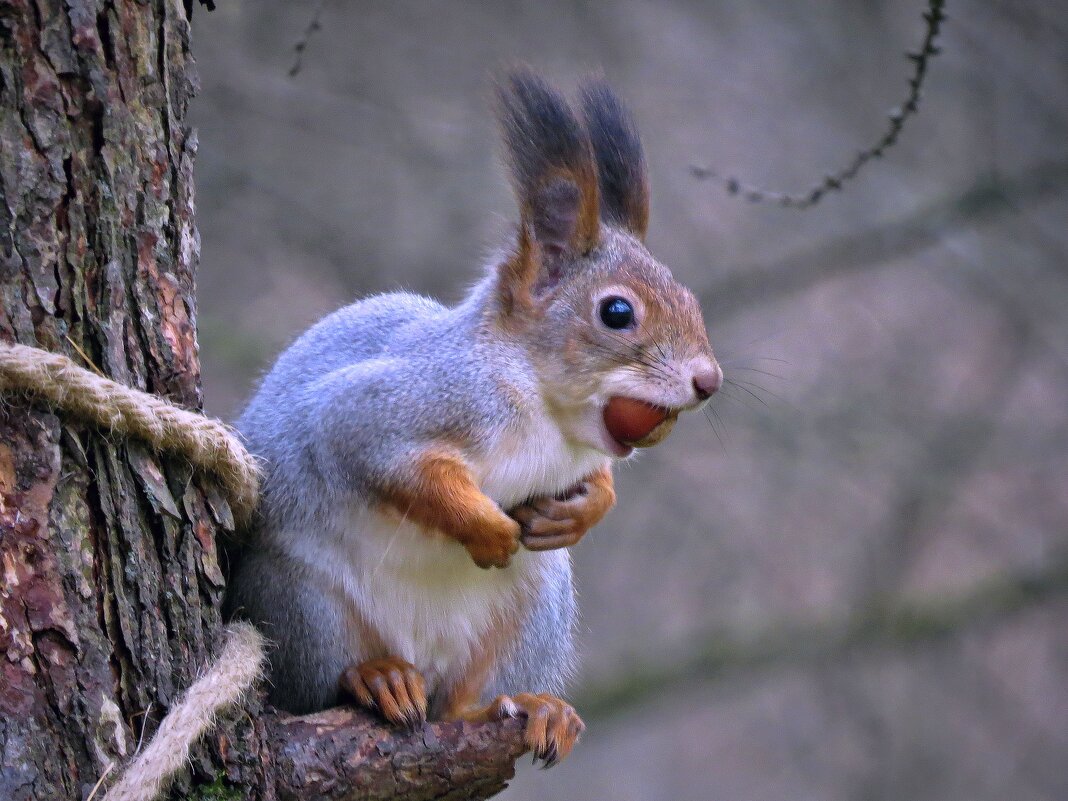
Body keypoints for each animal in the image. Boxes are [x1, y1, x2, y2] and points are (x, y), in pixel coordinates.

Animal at [226, 72, 726, 768]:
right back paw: (377, 676)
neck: (547, 414)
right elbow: (393, 464)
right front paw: (488, 530)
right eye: (617, 312)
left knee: (461, 704)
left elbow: (600, 485)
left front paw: (579, 513)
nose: (709, 381)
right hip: (302, 601)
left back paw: (526, 708)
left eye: (690, 299)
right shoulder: (390, 408)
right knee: (322, 679)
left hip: (529, 618)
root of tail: (421, 659)